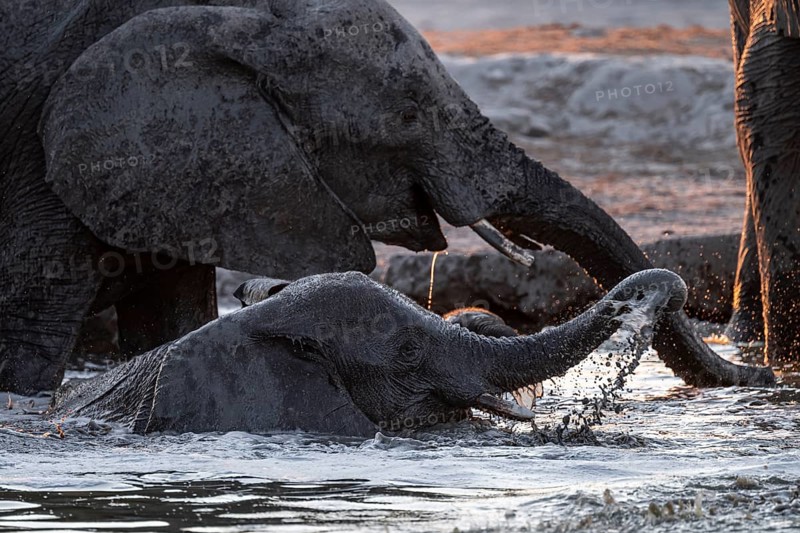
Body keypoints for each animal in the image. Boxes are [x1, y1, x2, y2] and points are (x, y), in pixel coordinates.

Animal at [0, 0, 773, 394]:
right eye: (407, 115)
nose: (761, 372)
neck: (234, 16)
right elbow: (28, 339)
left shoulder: (195, 177)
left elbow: (173, 324)